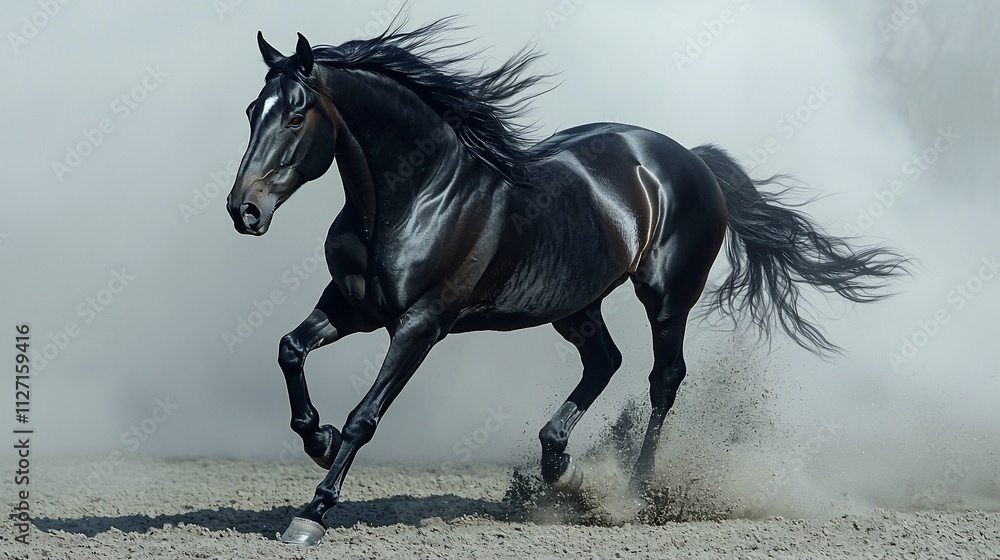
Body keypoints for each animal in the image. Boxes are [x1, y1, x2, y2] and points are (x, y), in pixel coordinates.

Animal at [225, 20, 907, 545]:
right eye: (252, 112)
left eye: (295, 115)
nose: (244, 211)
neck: (417, 195)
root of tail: (691, 159)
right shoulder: (352, 306)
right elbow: (289, 349)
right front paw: (316, 437)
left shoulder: (422, 323)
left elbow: (366, 416)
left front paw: (313, 511)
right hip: (574, 304)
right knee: (605, 361)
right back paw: (557, 464)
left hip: (666, 298)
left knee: (662, 379)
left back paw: (635, 494)